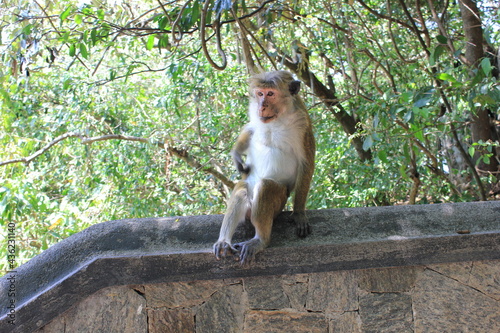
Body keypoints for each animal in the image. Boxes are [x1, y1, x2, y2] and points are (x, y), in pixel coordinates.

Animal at [213, 70, 314, 264]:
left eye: (271, 94)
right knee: (242, 188)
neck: (278, 117)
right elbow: (250, 128)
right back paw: (224, 242)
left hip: (279, 202)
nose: (262, 106)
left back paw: (260, 240)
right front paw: (236, 156)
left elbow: (306, 163)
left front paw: (299, 213)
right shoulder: (255, 116)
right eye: (260, 93)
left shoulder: (302, 124)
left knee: (266, 186)